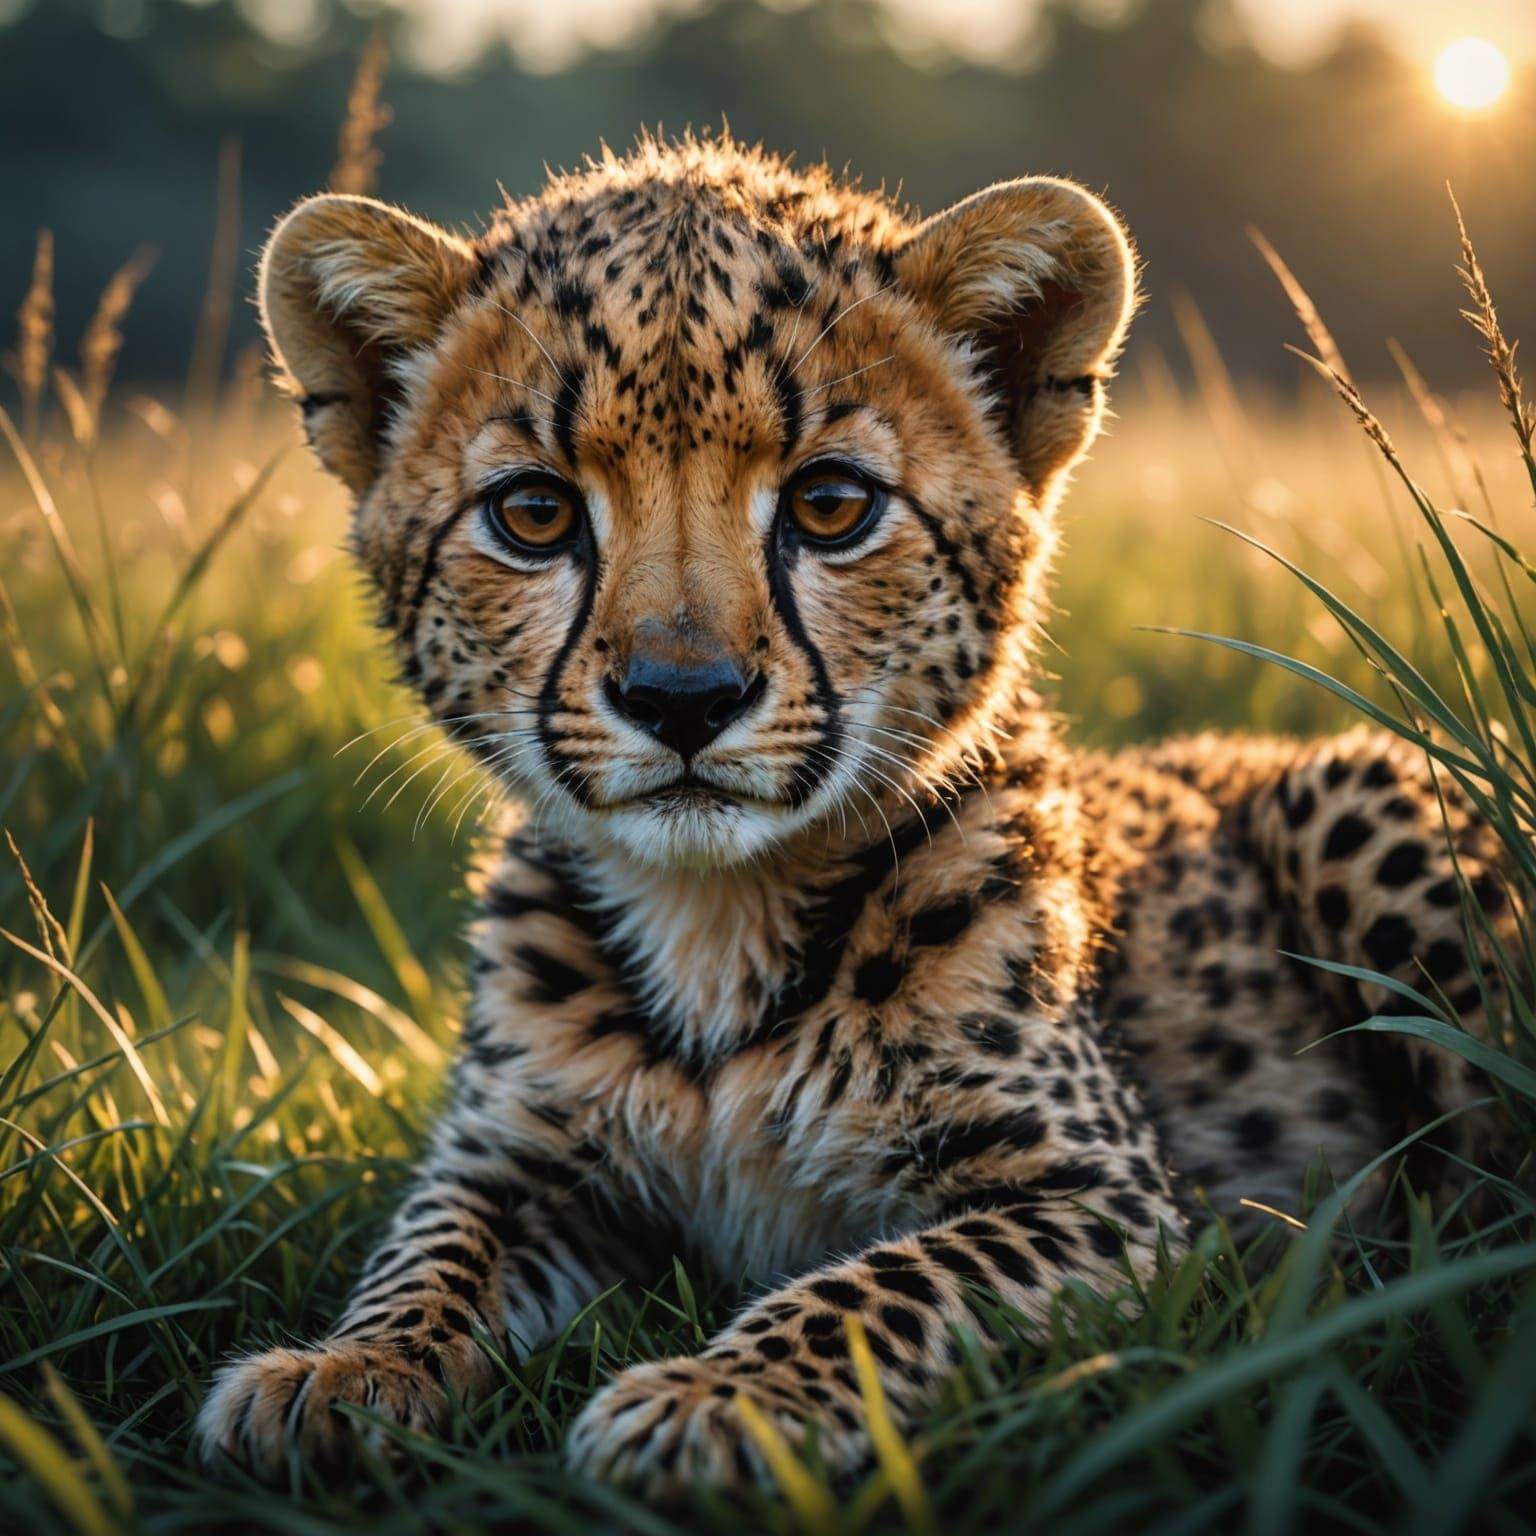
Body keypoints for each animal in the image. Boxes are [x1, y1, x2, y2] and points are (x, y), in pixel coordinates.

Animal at [194, 133, 1514, 1498]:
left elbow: (882, 1287)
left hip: (1357, 798)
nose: (682, 696)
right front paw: (339, 1370)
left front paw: (709, 1397)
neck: (715, 919)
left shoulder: (1103, 1204)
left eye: (831, 504)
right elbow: (427, 1255)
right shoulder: (519, 1164)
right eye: (534, 511)